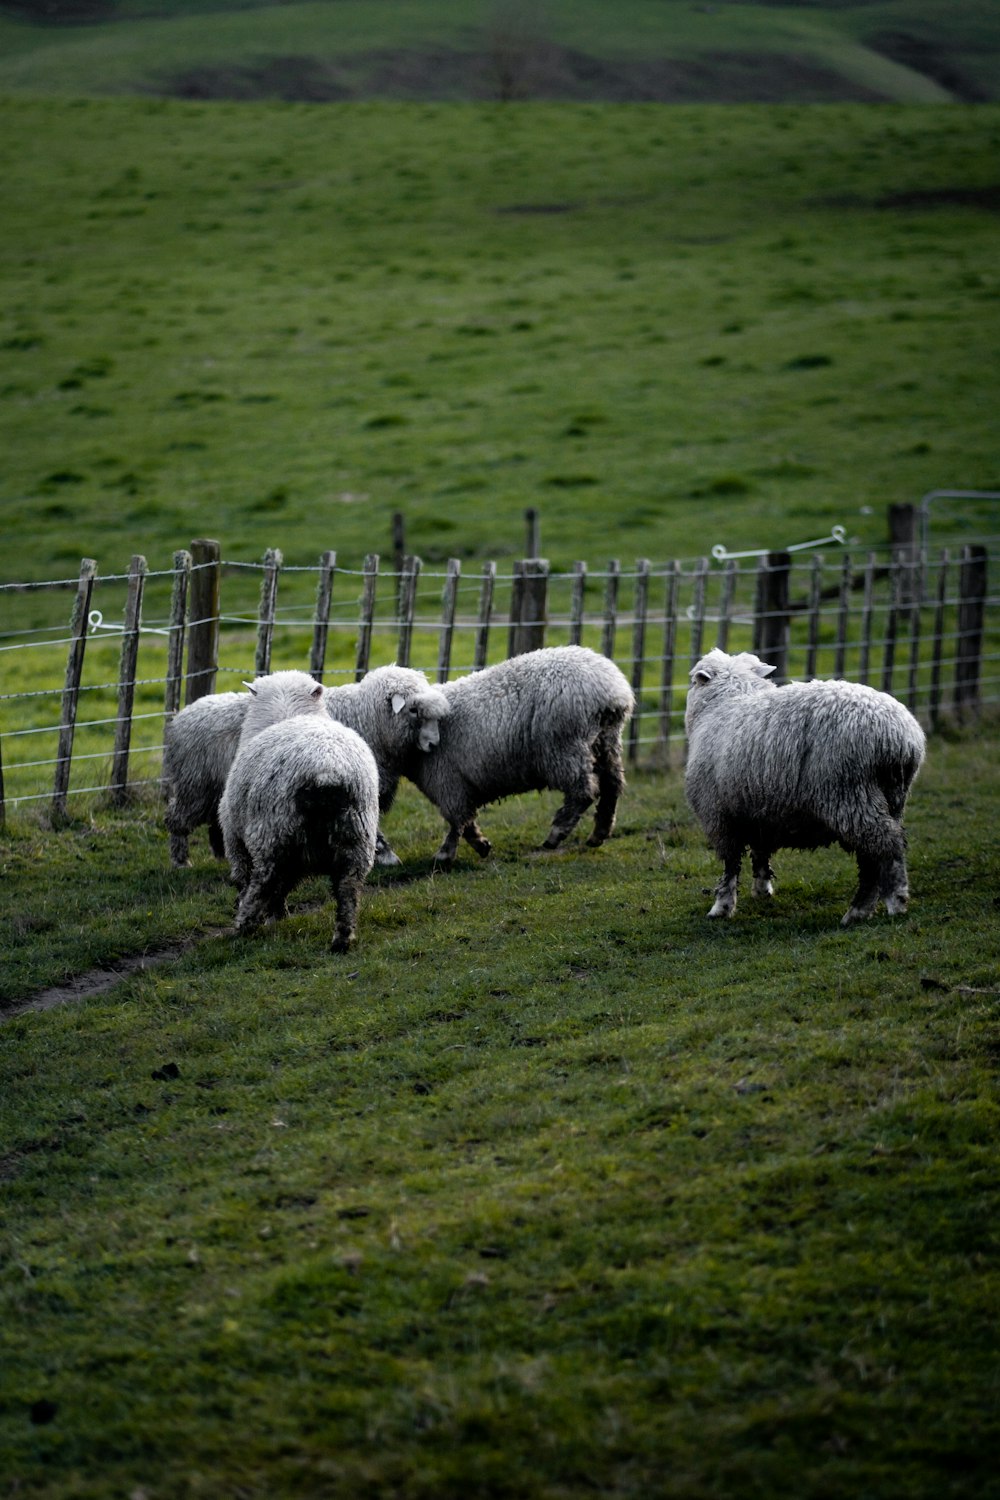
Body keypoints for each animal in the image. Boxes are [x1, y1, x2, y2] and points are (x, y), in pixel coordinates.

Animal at [164, 666, 446, 870]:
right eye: (413, 709)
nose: (434, 744)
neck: (367, 718)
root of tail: (180, 717)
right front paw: (386, 855)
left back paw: (220, 854)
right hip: (195, 785)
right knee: (176, 819)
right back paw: (180, 861)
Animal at [218, 669, 379, 948]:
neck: (287, 713)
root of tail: (326, 769)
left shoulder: (233, 837)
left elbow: (244, 879)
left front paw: (269, 915)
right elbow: (283, 887)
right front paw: (278, 915)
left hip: (272, 833)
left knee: (263, 882)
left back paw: (244, 926)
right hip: (356, 837)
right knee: (348, 888)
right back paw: (342, 939)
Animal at [404, 645, 632, 870]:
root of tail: (612, 691)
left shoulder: (448, 783)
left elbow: (458, 820)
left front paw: (446, 854)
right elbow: (465, 820)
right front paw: (480, 845)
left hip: (565, 747)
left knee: (584, 792)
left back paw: (556, 834)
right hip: (605, 742)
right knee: (612, 786)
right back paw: (599, 833)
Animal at [683, 648, 929, 924]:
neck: (725, 703)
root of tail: (899, 736)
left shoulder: (719, 816)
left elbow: (730, 865)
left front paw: (722, 907)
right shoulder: (758, 808)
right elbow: (760, 852)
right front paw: (762, 889)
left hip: (849, 795)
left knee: (884, 848)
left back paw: (880, 905)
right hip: (894, 796)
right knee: (878, 854)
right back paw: (866, 908)